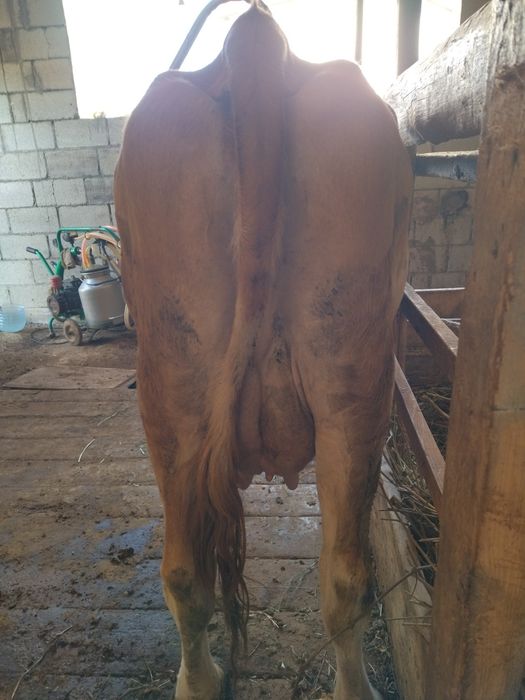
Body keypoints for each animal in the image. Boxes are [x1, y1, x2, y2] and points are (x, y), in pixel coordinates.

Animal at [114, 2, 412, 698]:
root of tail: (255, 42)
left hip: (178, 392)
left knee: (190, 573)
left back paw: (200, 679)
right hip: (346, 386)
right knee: (338, 576)